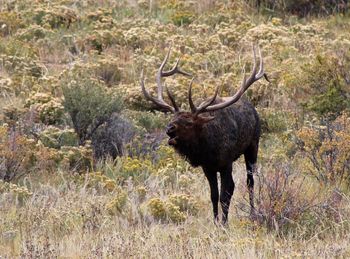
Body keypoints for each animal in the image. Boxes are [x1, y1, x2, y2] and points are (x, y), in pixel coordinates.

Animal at [139, 45, 268, 224]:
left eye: (189, 123)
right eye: (172, 118)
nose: (169, 129)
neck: (208, 149)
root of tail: (253, 109)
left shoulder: (226, 162)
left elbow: (225, 195)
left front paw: (224, 223)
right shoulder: (208, 167)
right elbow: (214, 195)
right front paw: (215, 222)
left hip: (253, 145)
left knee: (250, 181)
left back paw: (252, 213)